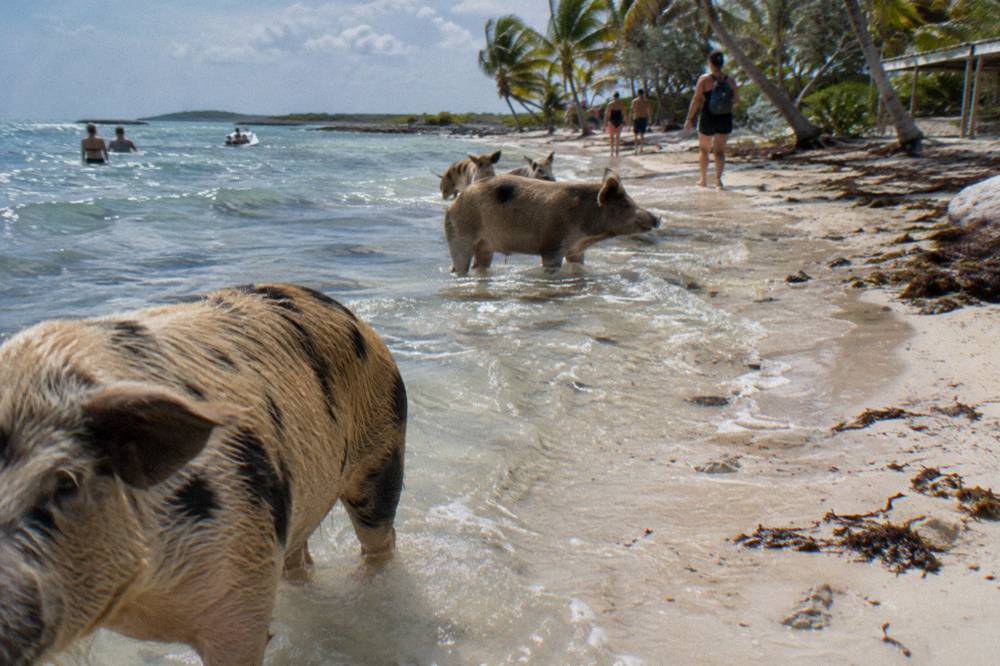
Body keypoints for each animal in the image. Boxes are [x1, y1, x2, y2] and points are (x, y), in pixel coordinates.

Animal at [0, 283, 407, 665]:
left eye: (64, 484)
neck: (138, 601)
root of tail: (352, 317)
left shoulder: (243, 577)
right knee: (298, 558)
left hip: (384, 446)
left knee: (379, 536)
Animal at [443, 172, 659, 275]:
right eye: (626, 204)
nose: (657, 218)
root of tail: (453, 204)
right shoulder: (552, 244)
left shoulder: (576, 249)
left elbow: (578, 264)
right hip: (460, 232)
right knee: (460, 262)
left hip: (485, 246)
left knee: (480, 264)